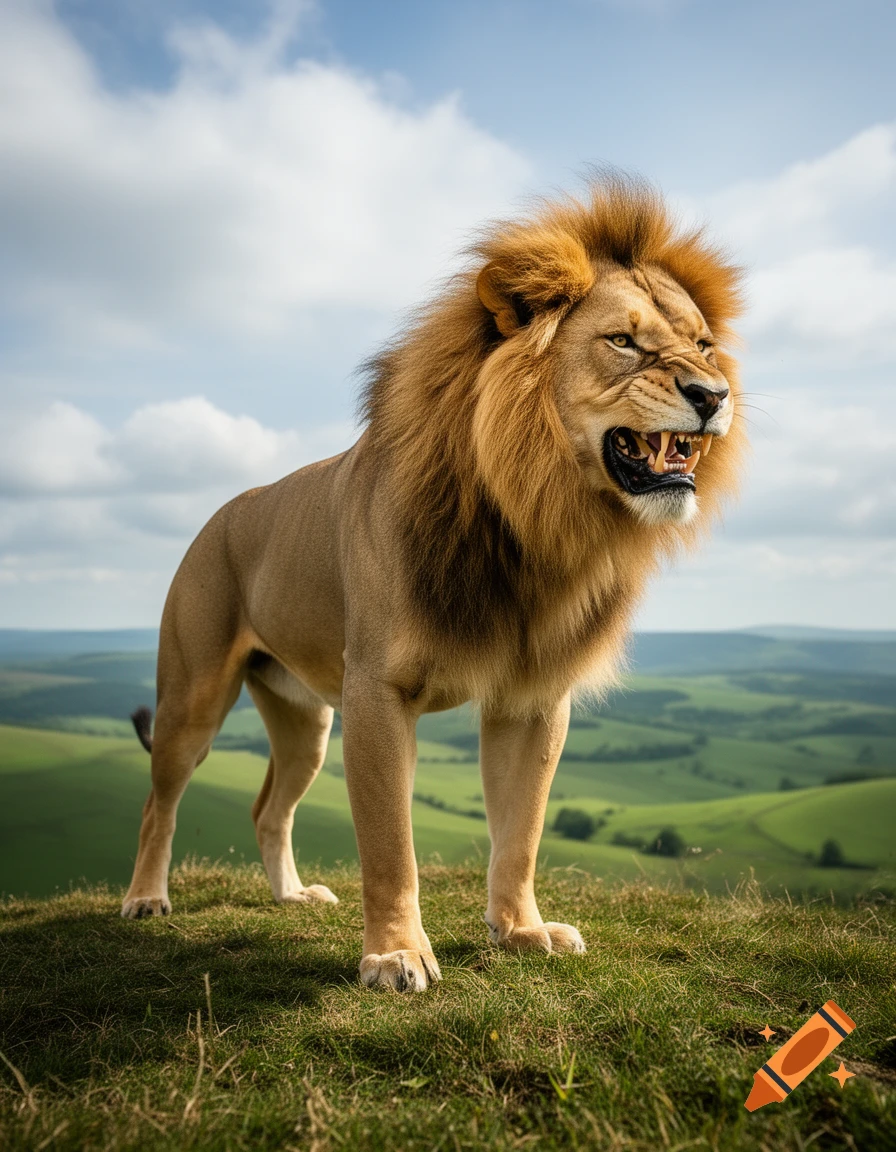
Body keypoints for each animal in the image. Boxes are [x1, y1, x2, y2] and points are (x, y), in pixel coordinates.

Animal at [122, 175, 745, 992]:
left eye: (703, 344)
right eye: (623, 341)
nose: (714, 393)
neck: (532, 518)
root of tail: (220, 514)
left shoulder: (533, 698)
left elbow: (520, 832)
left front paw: (522, 931)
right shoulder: (378, 693)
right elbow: (392, 845)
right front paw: (395, 955)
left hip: (305, 723)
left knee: (268, 808)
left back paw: (292, 895)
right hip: (193, 700)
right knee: (158, 803)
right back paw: (145, 899)